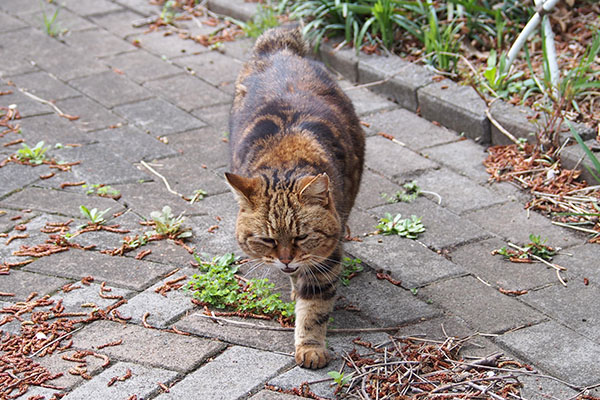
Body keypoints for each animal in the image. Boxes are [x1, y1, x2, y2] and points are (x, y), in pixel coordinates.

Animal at [226, 25, 364, 368]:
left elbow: (314, 308)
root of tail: (281, 49)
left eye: (301, 237)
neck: (285, 158)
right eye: (268, 240)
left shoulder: (327, 257)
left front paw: (310, 346)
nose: (286, 259)